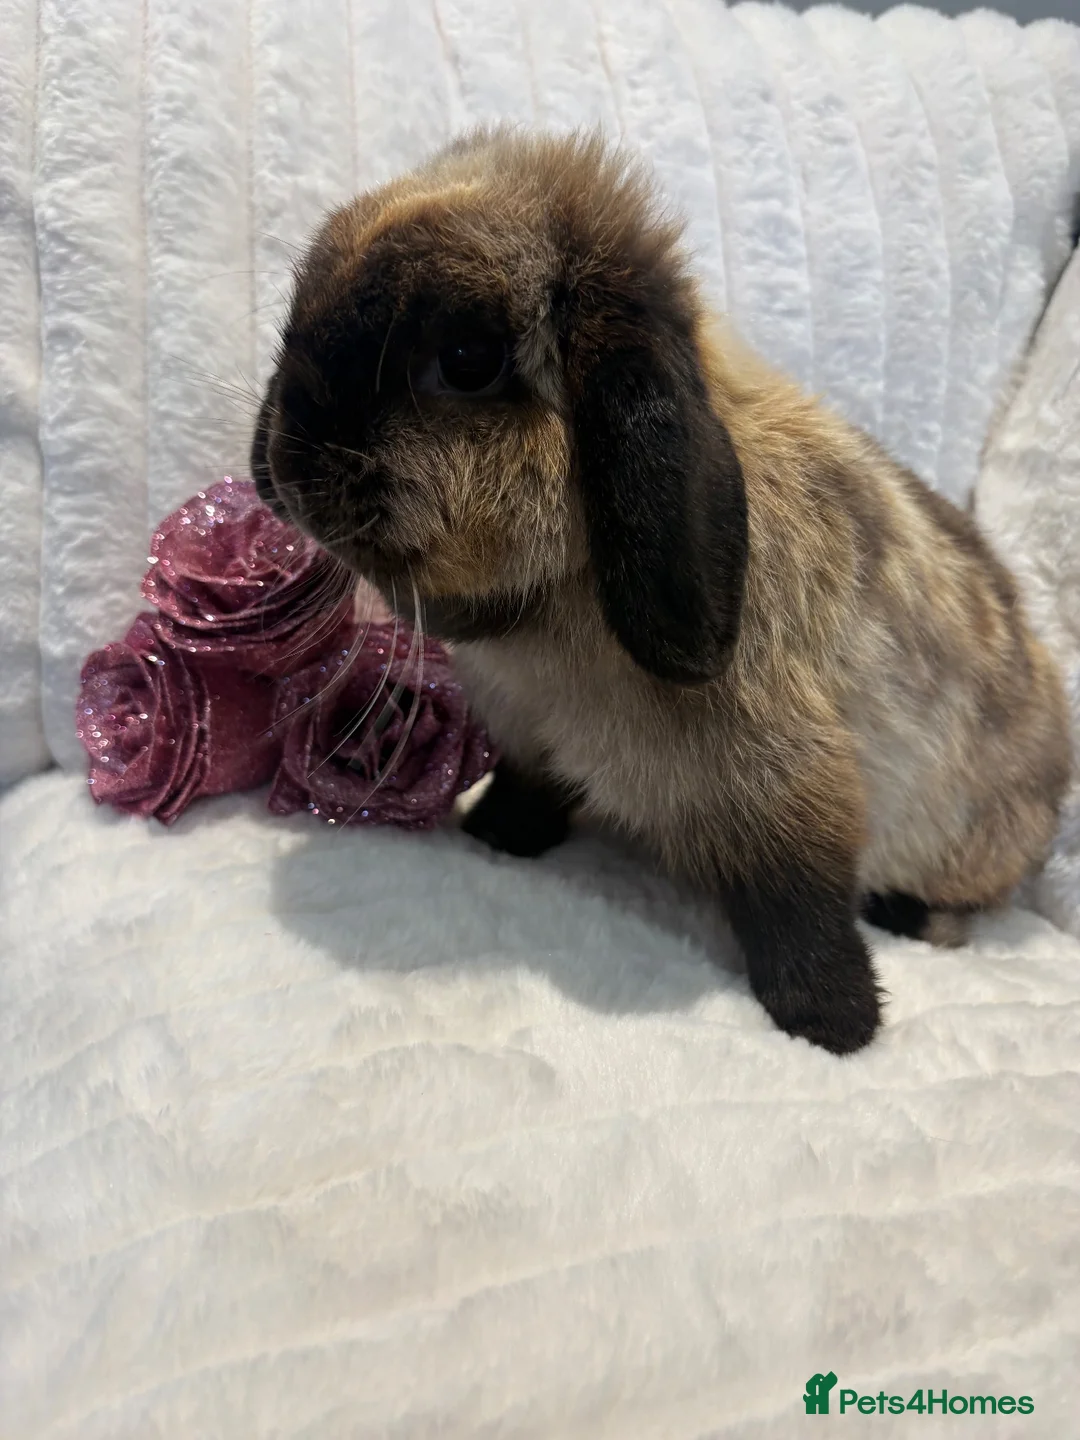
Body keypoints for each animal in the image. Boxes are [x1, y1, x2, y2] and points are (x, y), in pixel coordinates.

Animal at [252, 127, 1071, 1054]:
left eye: (466, 361)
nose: (289, 459)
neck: (557, 612)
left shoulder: (790, 782)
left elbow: (803, 911)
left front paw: (837, 1027)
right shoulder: (527, 739)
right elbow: (526, 790)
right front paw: (494, 839)